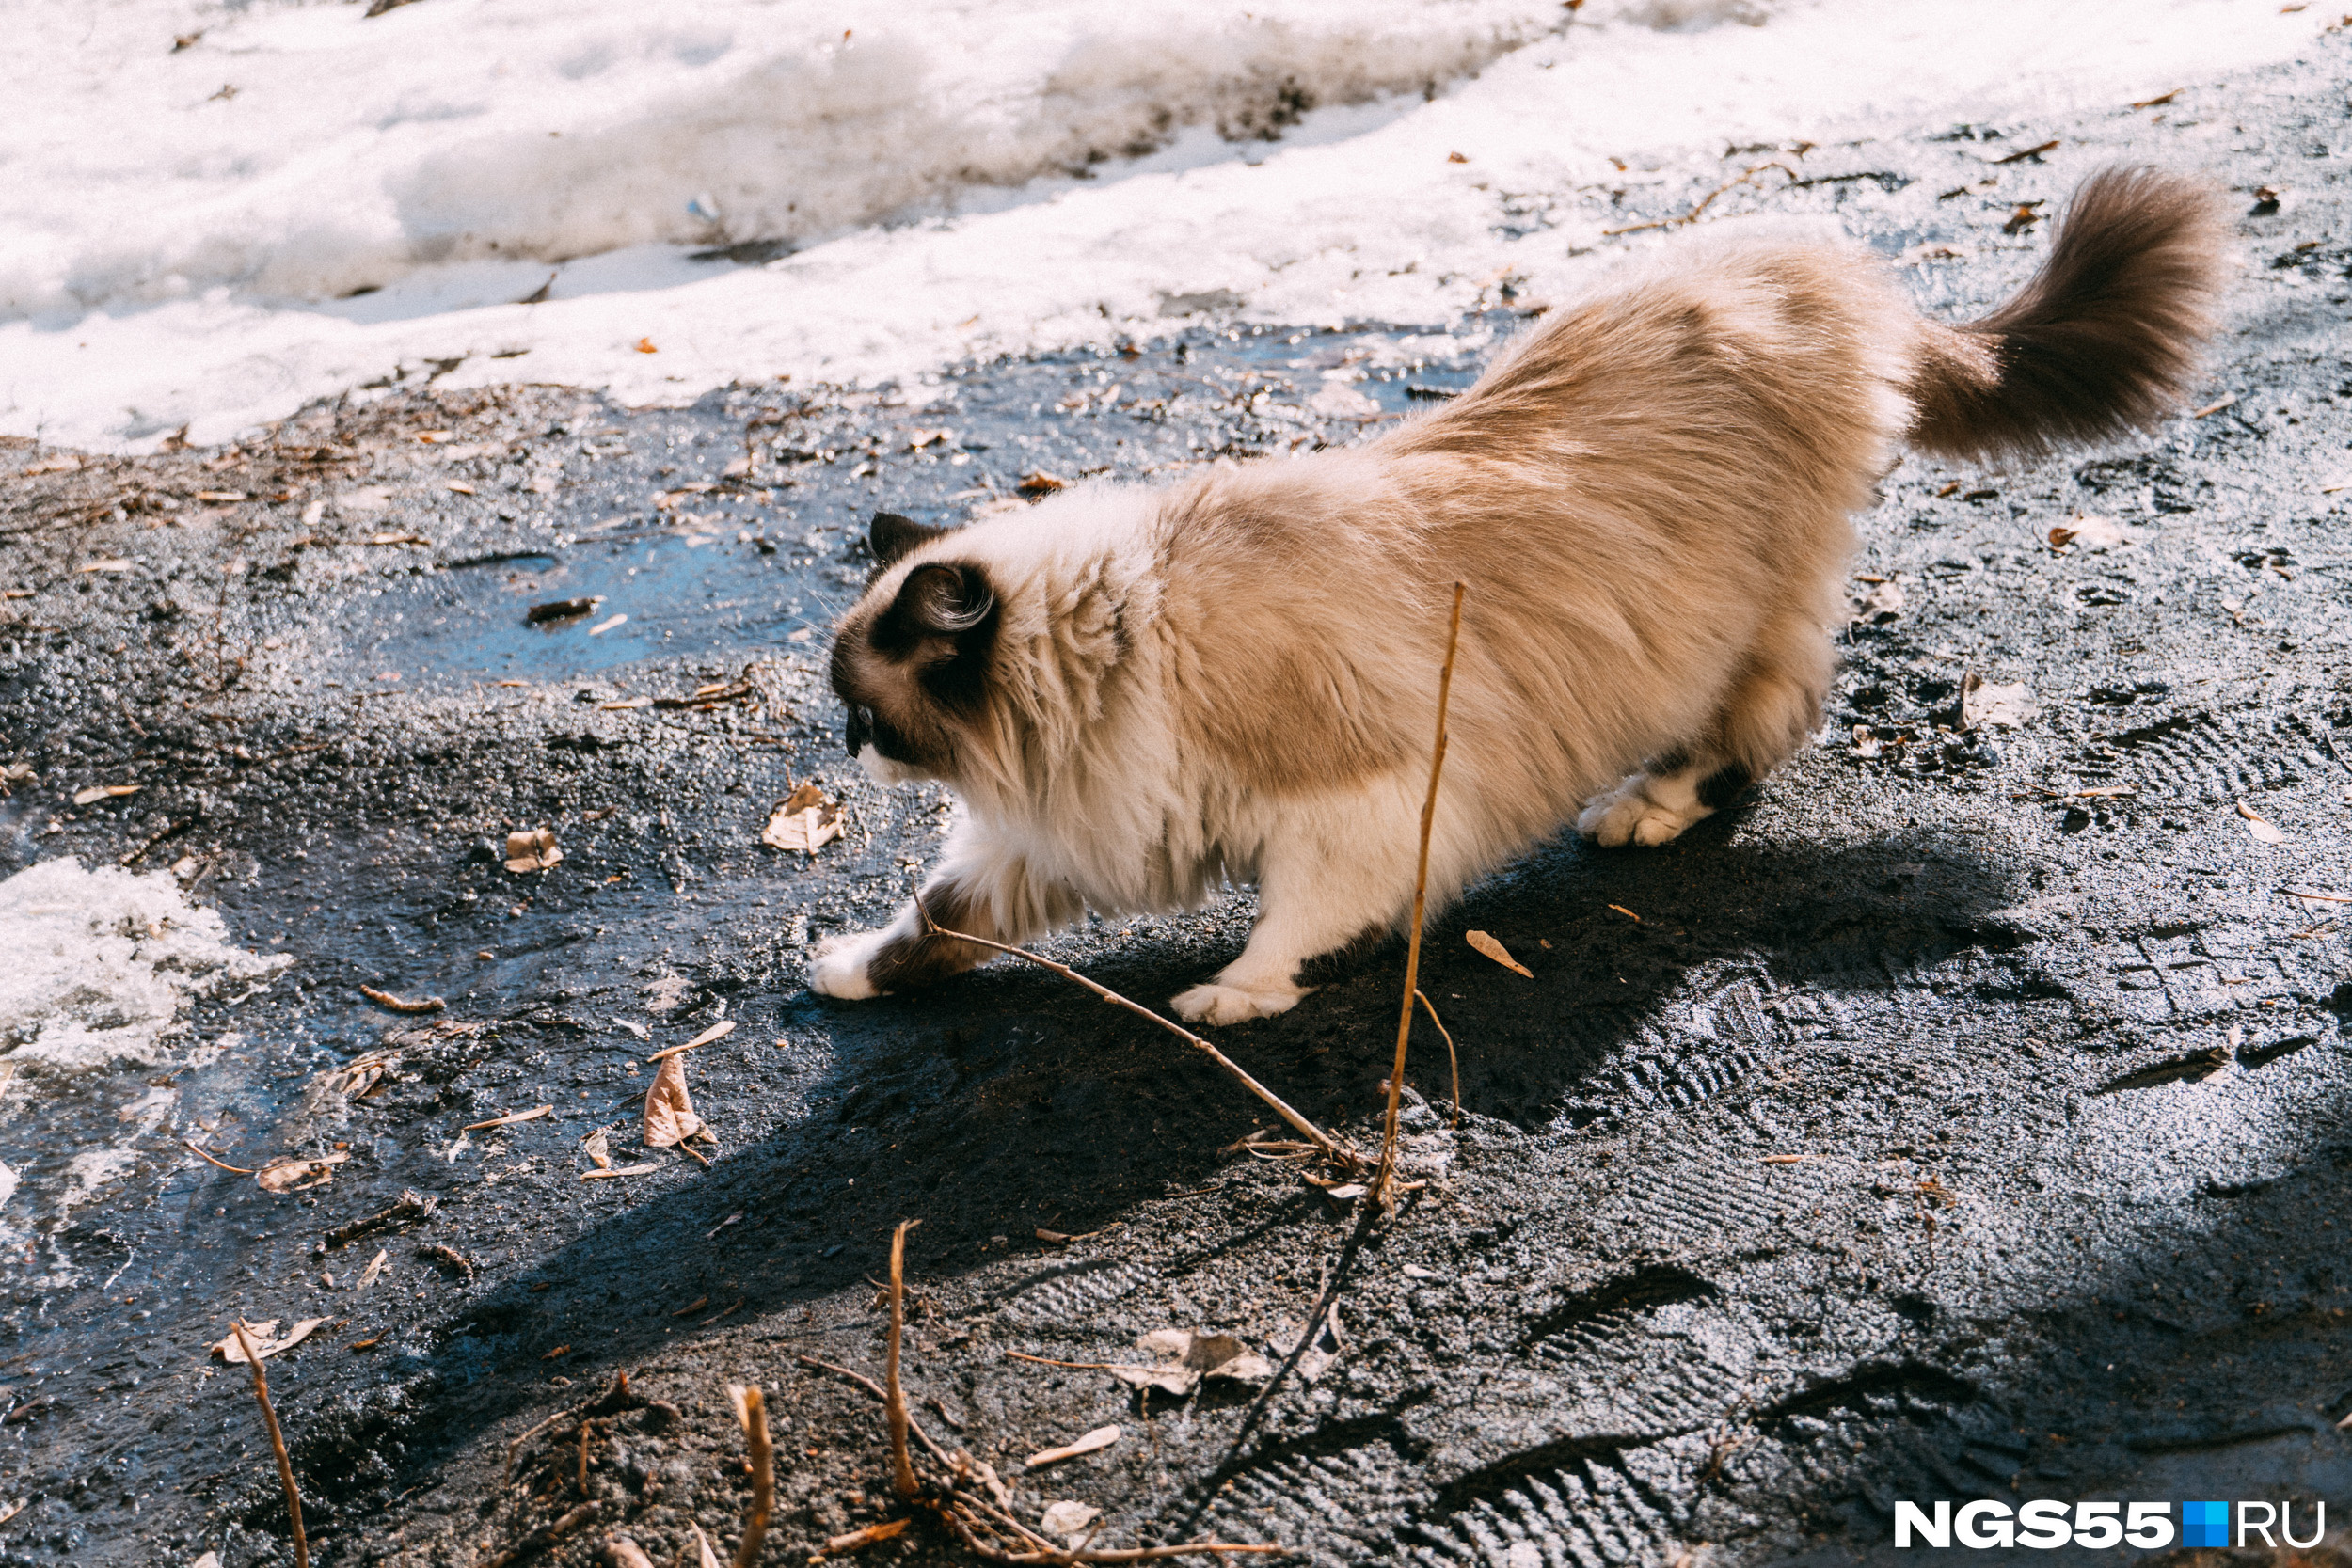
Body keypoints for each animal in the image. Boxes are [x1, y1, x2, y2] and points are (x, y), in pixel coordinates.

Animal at [814, 168, 2220, 1029]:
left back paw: (1645, 808)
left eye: (865, 717)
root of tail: (1806, 269)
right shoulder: (1060, 831)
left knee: (1761, 724)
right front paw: (851, 971)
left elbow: (1293, 918)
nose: (848, 754)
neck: (1112, 643)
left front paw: (1237, 993)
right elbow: (938, 913)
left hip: (1721, 626)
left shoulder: (1361, 800)